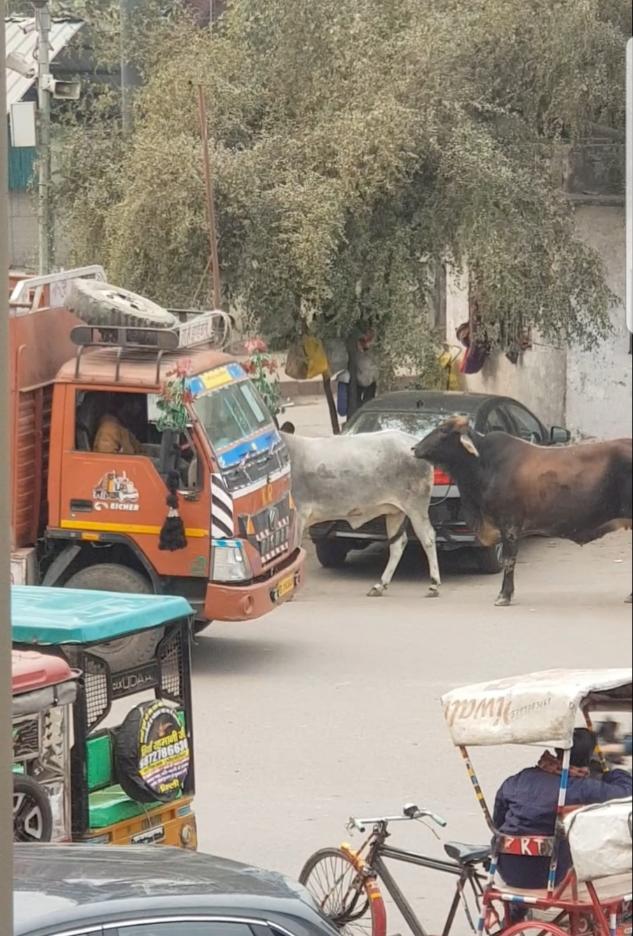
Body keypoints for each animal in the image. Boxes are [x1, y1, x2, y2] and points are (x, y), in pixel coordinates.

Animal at [282, 428, 440, 596]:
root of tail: (415, 443)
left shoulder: (298, 517)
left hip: (416, 507)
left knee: (428, 538)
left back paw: (434, 584)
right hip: (395, 512)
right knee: (398, 544)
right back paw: (380, 585)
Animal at [412, 416, 628, 608]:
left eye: (443, 430)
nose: (414, 448)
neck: (484, 464)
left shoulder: (509, 524)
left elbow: (509, 560)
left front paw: (504, 596)